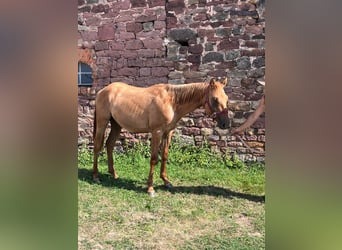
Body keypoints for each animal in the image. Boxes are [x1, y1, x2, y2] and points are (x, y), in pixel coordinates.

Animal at [92, 77, 230, 196]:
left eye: (226, 98)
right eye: (215, 99)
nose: (226, 124)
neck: (171, 101)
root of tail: (102, 91)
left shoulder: (168, 132)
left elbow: (164, 155)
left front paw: (166, 181)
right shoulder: (157, 132)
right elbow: (154, 159)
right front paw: (150, 188)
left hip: (116, 125)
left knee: (109, 145)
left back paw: (113, 174)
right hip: (102, 122)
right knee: (97, 146)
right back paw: (96, 176)